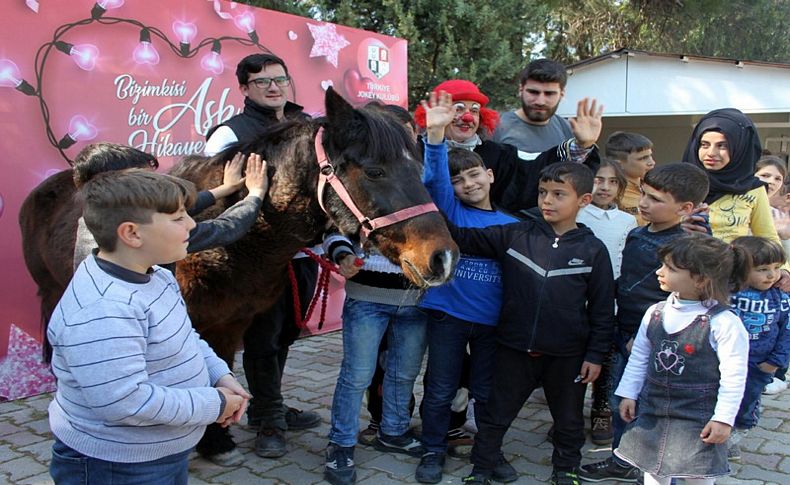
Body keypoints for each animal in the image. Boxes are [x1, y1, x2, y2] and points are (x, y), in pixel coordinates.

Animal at [18, 86, 460, 458]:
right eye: (374, 171)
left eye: (419, 169)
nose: (443, 258)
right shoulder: (192, 322)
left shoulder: (233, 321)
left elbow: (232, 366)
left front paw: (216, 436)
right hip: (52, 291)